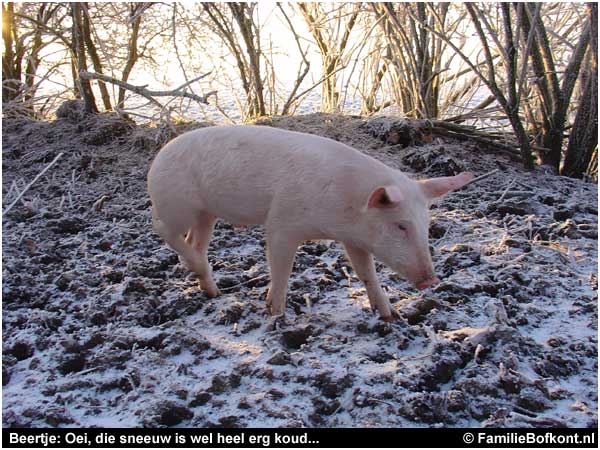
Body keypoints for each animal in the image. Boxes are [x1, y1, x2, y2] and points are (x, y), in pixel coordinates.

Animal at [146, 125, 474, 322]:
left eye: (426, 225)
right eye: (401, 226)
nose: (432, 280)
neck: (346, 210)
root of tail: (159, 155)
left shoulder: (354, 238)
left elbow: (366, 272)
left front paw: (390, 316)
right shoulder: (282, 223)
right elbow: (282, 269)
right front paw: (276, 316)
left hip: (206, 214)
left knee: (196, 242)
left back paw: (213, 292)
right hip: (177, 205)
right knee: (160, 228)